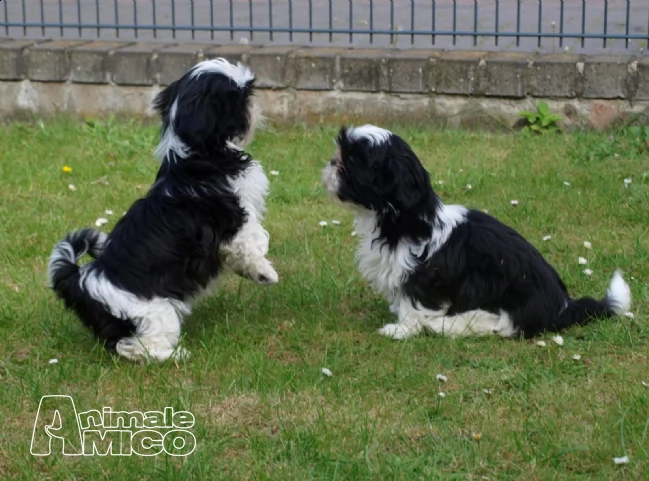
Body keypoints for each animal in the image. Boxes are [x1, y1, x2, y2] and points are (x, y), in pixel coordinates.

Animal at [46, 58, 276, 362]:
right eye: (240, 97)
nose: (256, 106)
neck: (199, 156)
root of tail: (82, 283)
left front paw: (255, 274)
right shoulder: (234, 216)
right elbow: (252, 239)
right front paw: (265, 269)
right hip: (154, 312)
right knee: (134, 346)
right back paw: (174, 356)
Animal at [322, 125, 632, 340]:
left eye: (352, 161)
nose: (331, 163)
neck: (404, 219)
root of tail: (564, 305)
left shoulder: (422, 275)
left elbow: (414, 304)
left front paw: (401, 330)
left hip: (509, 298)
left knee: (502, 325)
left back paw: (446, 325)